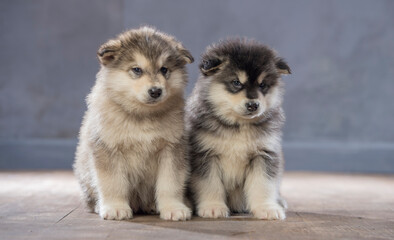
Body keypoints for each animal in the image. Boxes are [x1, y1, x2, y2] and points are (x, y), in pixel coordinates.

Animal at [73, 26, 194, 221]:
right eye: (137, 69)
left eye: (164, 69)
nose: (155, 91)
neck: (142, 115)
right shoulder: (108, 149)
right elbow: (113, 183)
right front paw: (115, 207)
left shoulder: (171, 149)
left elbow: (170, 183)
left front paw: (173, 208)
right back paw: (100, 206)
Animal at [186, 38, 290, 220]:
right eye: (236, 82)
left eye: (263, 85)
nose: (253, 105)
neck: (239, 125)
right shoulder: (205, 155)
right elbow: (209, 184)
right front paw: (213, 207)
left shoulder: (264, 154)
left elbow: (263, 184)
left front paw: (267, 208)